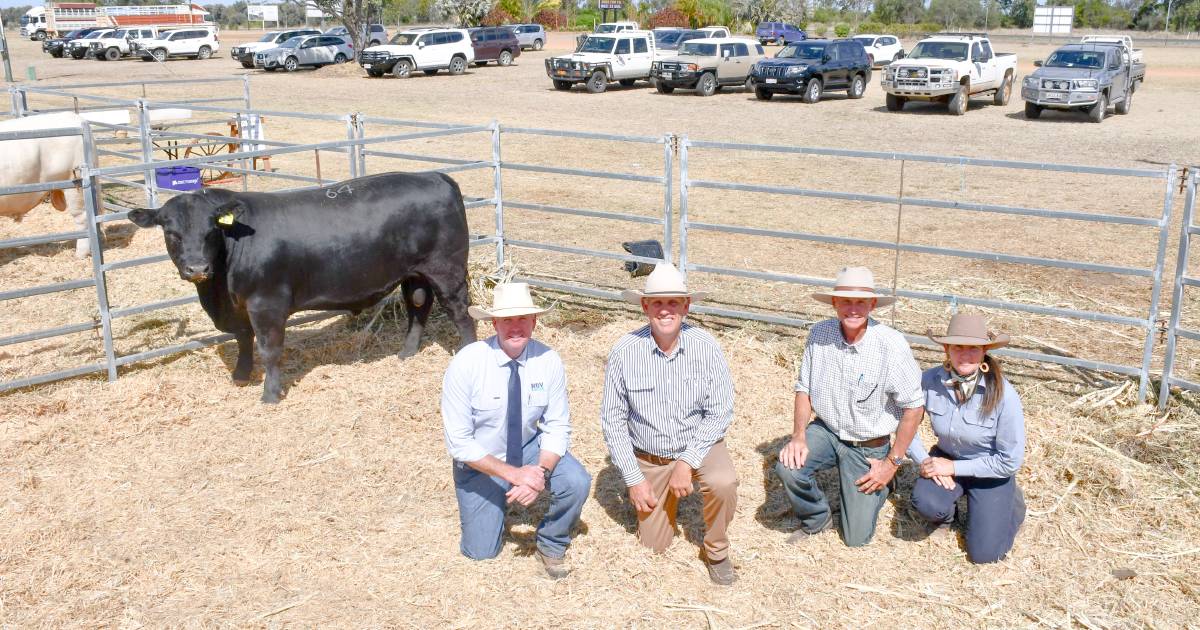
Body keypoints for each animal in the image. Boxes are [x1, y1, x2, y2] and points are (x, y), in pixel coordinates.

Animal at [126, 170, 472, 403]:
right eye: (171, 233)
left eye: (211, 230)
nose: (198, 268)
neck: (218, 293)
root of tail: (435, 176)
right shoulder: (240, 306)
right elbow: (243, 339)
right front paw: (240, 376)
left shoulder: (266, 303)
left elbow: (269, 350)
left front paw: (270, 394)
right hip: (413, 274)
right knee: (418, 306)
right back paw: (406, 353)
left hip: (447, 271)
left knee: (461, 315)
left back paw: (467, 354)